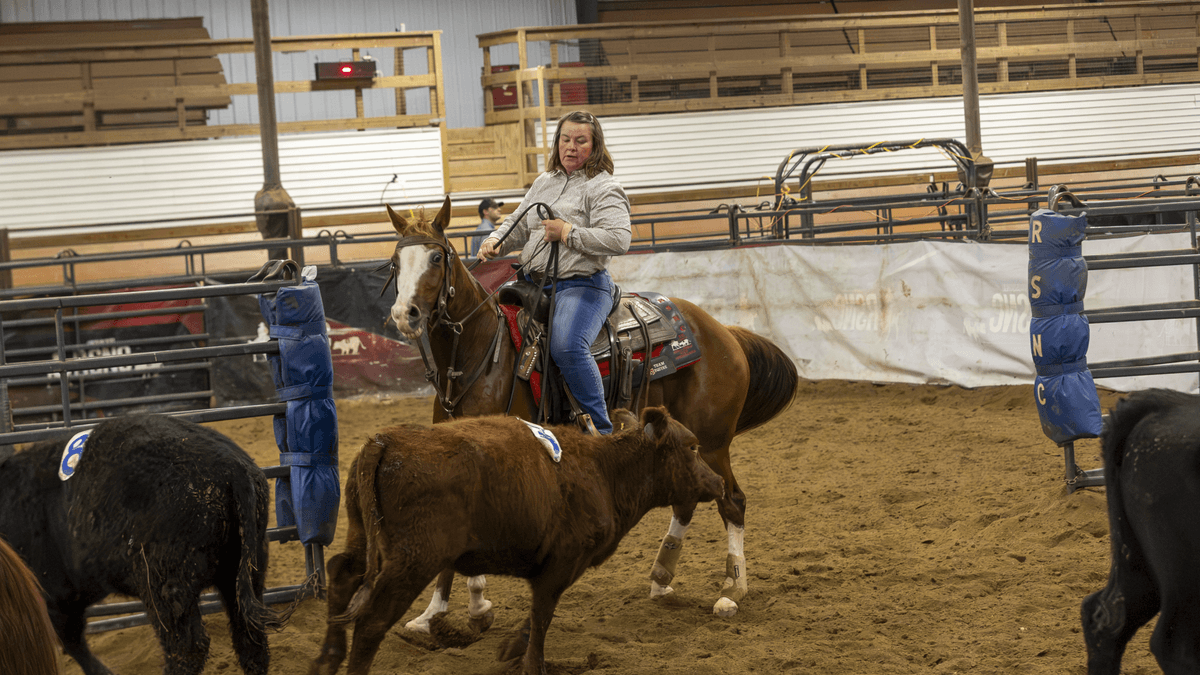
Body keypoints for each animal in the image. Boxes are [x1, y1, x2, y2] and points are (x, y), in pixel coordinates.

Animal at [379, 195, 799, 622]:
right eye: (395, 262)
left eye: (436, 258)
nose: (404, 314)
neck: (483, 353)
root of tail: (723, 331)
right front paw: (435, 611)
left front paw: (475, 604)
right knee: (686, 499)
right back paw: (662, 578)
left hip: (714, 441)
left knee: (732, 500)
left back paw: (732, 589)